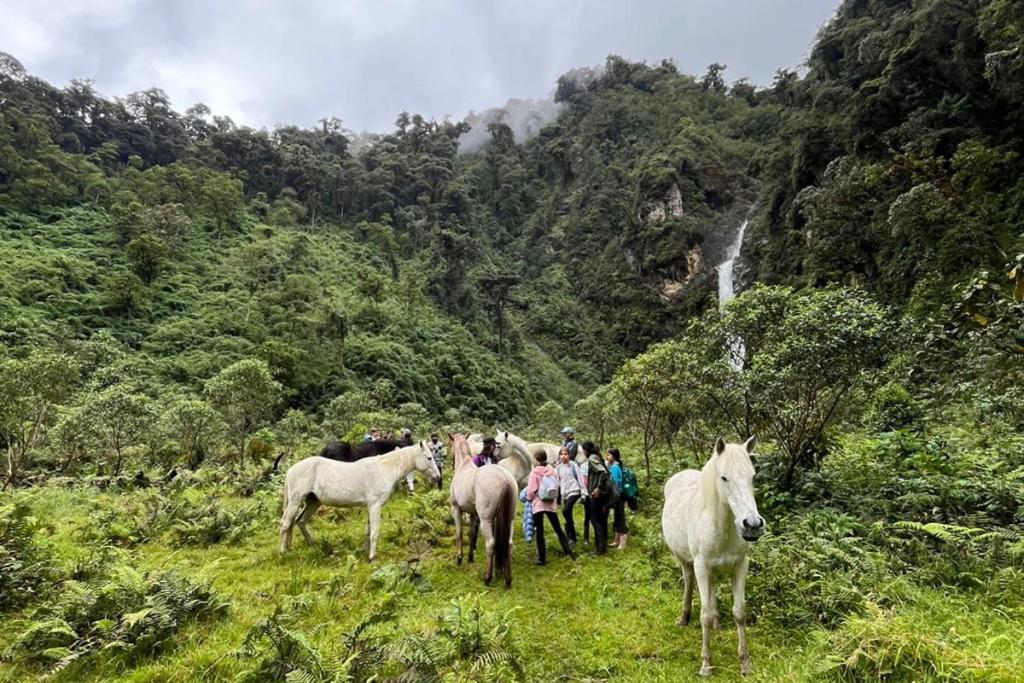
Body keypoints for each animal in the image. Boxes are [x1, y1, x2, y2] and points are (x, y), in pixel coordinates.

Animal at [280, 440, 440, 565]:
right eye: (429, 458)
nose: (437, 477)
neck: (383, 470)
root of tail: (290, 470)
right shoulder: (375, 506)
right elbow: (374, 532)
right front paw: (372, 558)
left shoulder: (370, 506)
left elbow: (368, 531)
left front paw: (365, 551)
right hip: (296, 501)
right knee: (286, 524)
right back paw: (283, 552)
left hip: (313, 502)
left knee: (299, 521)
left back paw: (308, 545)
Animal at [448, 436, 516, 585]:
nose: (451, 461)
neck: (463, 466)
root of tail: (504, 478)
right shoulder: (473, 514)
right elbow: (472, 533)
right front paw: (470, 557)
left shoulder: (456, 509)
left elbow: (459, 534)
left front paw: (460, 558)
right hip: (509, 520)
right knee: (509, 544)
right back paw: (508, 579)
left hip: (486, 521)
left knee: (490, 544)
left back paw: (487, 578)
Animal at [659, 438, 765, 679]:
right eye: (724, 478)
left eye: (753, 477)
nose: (753, 525)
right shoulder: (701, 566)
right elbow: (704, 614)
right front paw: (706, 664)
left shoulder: (740, 566)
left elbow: (739, 612)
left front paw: (744, 662)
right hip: (686, 562)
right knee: (689, 582)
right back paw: (684, 617)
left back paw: (717, 622)